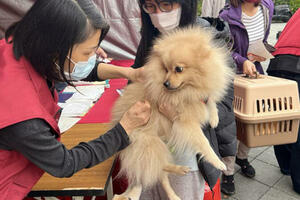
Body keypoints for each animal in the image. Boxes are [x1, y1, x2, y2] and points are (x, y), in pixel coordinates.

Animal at [111, 27, 233, 200]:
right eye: (165, 69)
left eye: (178, 69)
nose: (166, 83)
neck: (189, 89)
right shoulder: (186, 123)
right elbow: (204, 143)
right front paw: (217, 162)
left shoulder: (200, 96)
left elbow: (210, 101)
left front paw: (214, 118)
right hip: (150, 144)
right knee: (158, 170)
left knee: (160, 173)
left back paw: (177, 177)